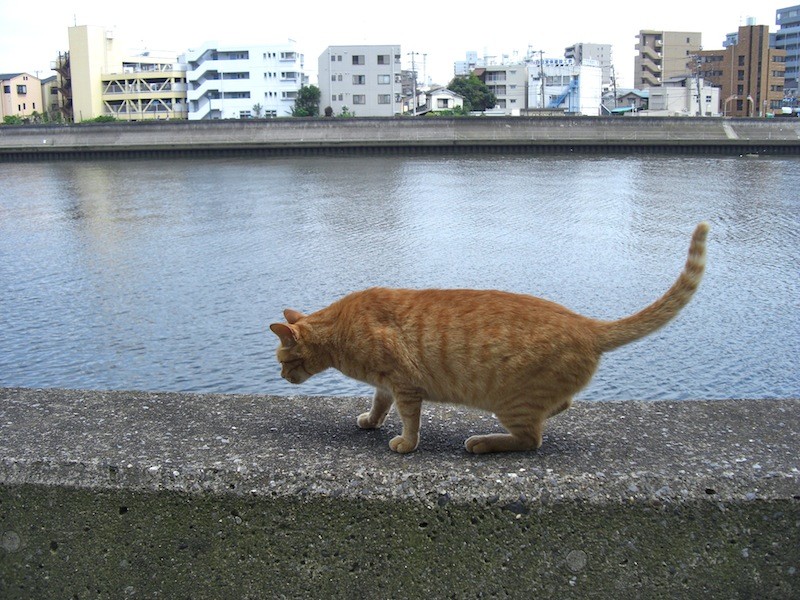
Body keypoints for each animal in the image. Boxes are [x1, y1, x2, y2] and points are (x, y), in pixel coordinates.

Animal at [272, 223, 708, 452]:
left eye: (283, 360)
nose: (281, 377)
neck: (340, 328)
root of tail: (587, 323)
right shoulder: (387, 383)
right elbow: (379, 404)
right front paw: (371, 421)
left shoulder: (405, 383)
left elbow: (409, 420)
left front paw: (405, 444)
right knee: (559, 408)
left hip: (511, 402)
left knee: (531, 439)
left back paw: (483, 442)